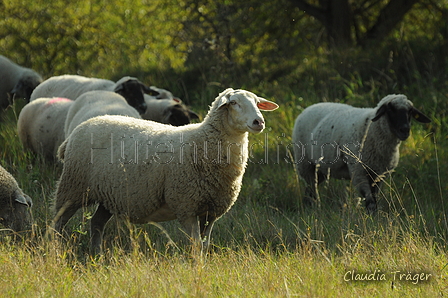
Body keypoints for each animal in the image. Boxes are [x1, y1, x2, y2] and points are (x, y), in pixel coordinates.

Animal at [51, 86, 276, 254]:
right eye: (234, 103)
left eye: (257, 103)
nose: (259, 122)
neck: (202, 141)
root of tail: (75, 133)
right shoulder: (187, 206)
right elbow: (196, 247)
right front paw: (197, 271)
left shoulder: (210, 211)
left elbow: (204, 246)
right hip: (72, 187)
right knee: (58, 223)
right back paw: (55, 251)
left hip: (109, 194)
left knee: (96, 223)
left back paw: (96, 256)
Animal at [292, 94, 432, 211]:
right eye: (390, 110)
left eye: (410, 111)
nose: (405, 130)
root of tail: (310, 107)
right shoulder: (359, 172)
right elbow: (370, 201)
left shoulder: (379, 175)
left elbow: (375, 199)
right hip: (306, 164)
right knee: (311, 189)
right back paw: (312, 208)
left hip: (321, 169)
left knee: (311, 188)